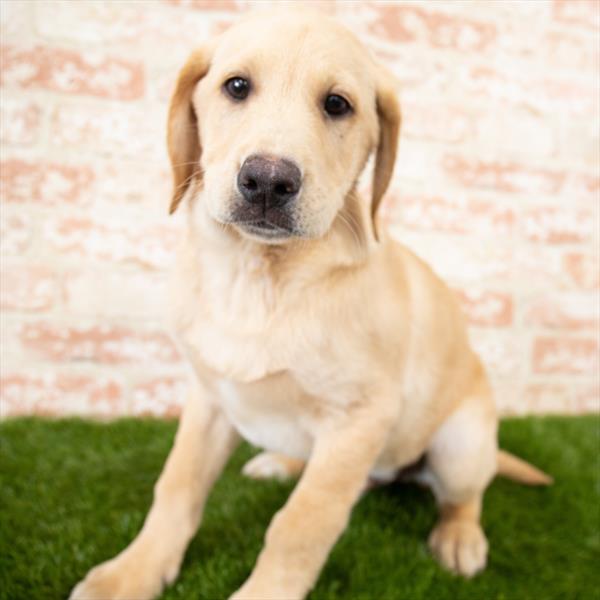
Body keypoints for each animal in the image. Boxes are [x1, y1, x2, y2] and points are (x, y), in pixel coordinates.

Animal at [69, 9, 548, 600]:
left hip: (461, 442)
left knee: (463, 496)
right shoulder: (209, 395)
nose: (268, 181)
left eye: (337, 104)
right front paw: (133, 571)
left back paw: (459, 538)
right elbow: (176, 486)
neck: (258, 276)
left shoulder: (358, 418)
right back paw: (279, 462)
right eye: (236, 86)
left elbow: (302, 523)